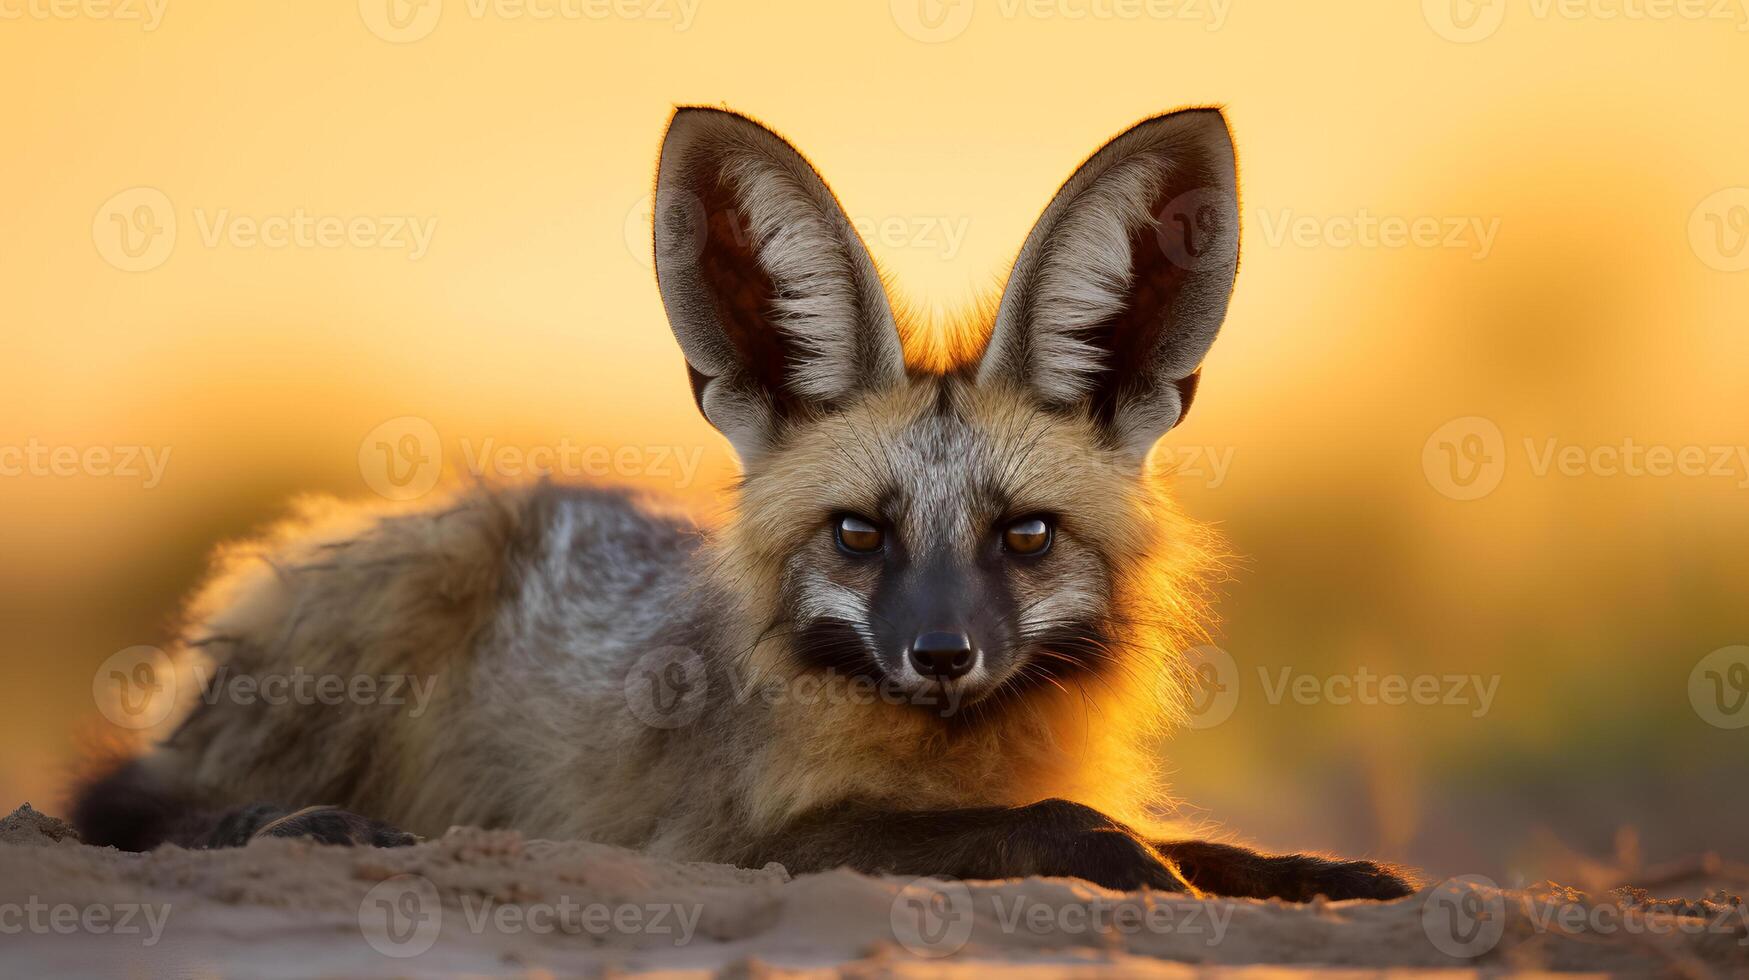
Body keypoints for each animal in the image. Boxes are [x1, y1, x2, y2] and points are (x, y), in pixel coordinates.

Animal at [75, 103, 1420, 903]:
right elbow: (1053, 824)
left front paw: (1331, 872)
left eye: (1026, 535)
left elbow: (1209, 845)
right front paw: (1144, 868)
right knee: (124, 802)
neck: (948, 753)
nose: (943, 653)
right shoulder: (731, 839)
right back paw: (305, 826)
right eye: (860, 533)